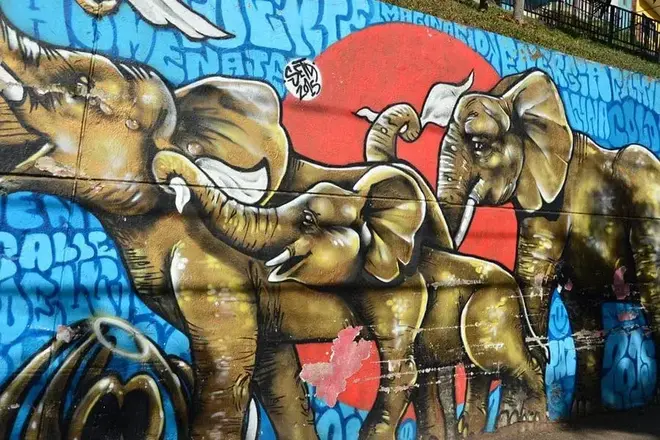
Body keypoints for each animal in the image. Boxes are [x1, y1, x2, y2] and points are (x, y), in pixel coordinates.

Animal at [359, 68, 660, 416]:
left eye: (479, 144)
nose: (415, 127)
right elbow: (546, 286)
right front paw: (519, 415)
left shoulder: (556, 201)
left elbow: (536, 273)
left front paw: (524, 414)